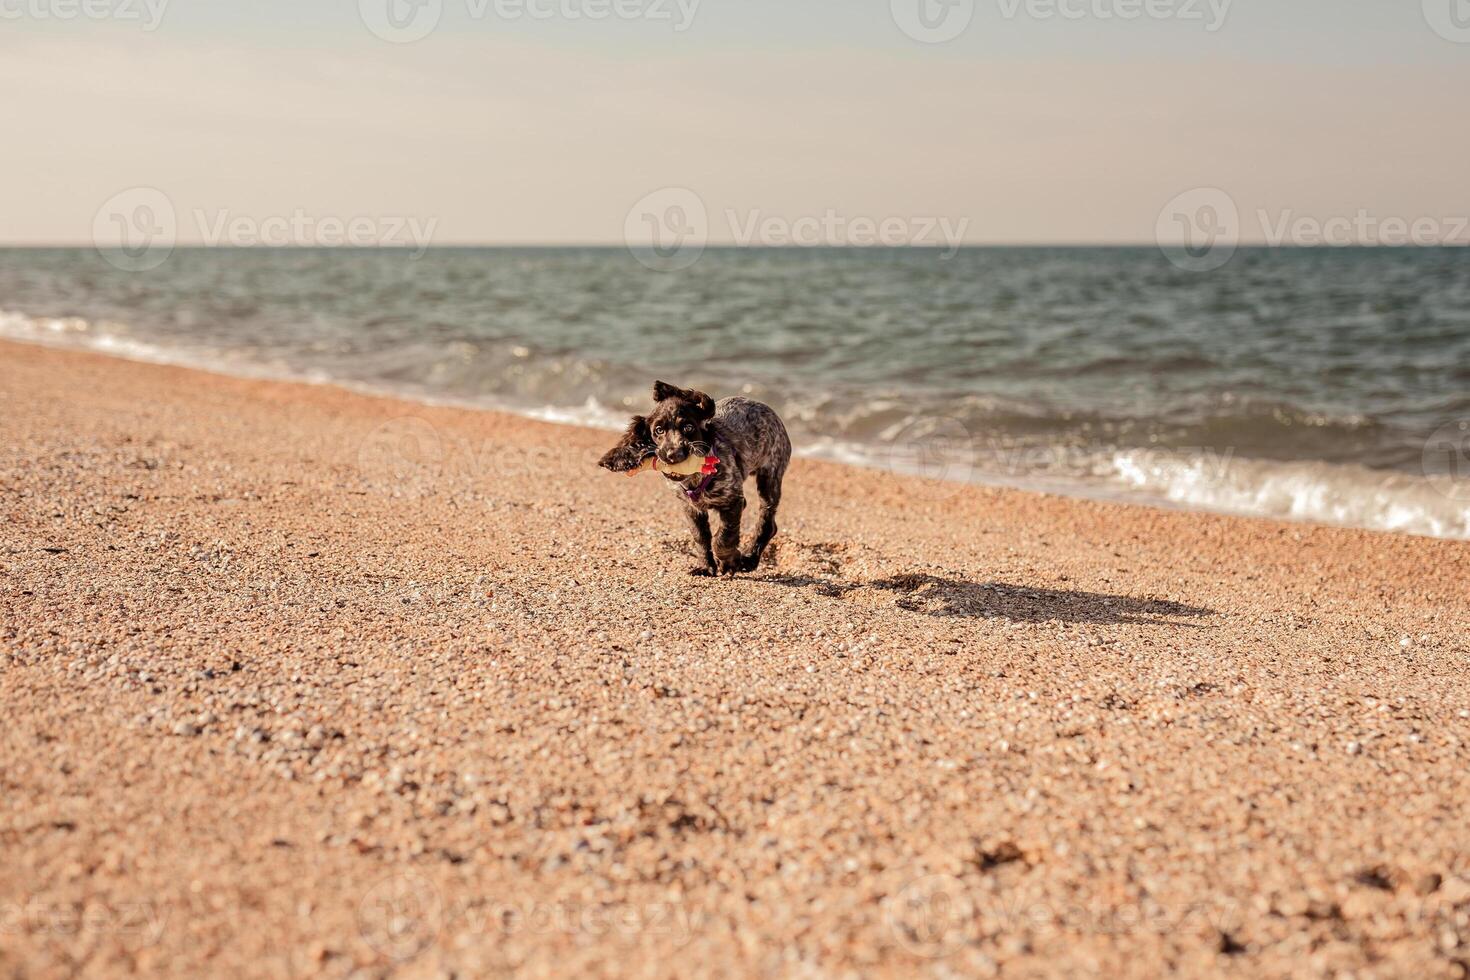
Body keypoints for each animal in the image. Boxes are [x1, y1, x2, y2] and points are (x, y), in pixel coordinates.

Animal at [599, 379, 793, 575]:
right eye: (659, 430)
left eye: (688, 427)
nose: (674, 455)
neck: (694, 478)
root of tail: (763, 406)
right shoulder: (691, 508)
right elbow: (700, 537)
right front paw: (706, 566)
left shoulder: (733, 501)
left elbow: (723, 537)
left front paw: (729, 562)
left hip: (770, 477)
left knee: (767, 521)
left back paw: (750, 559)